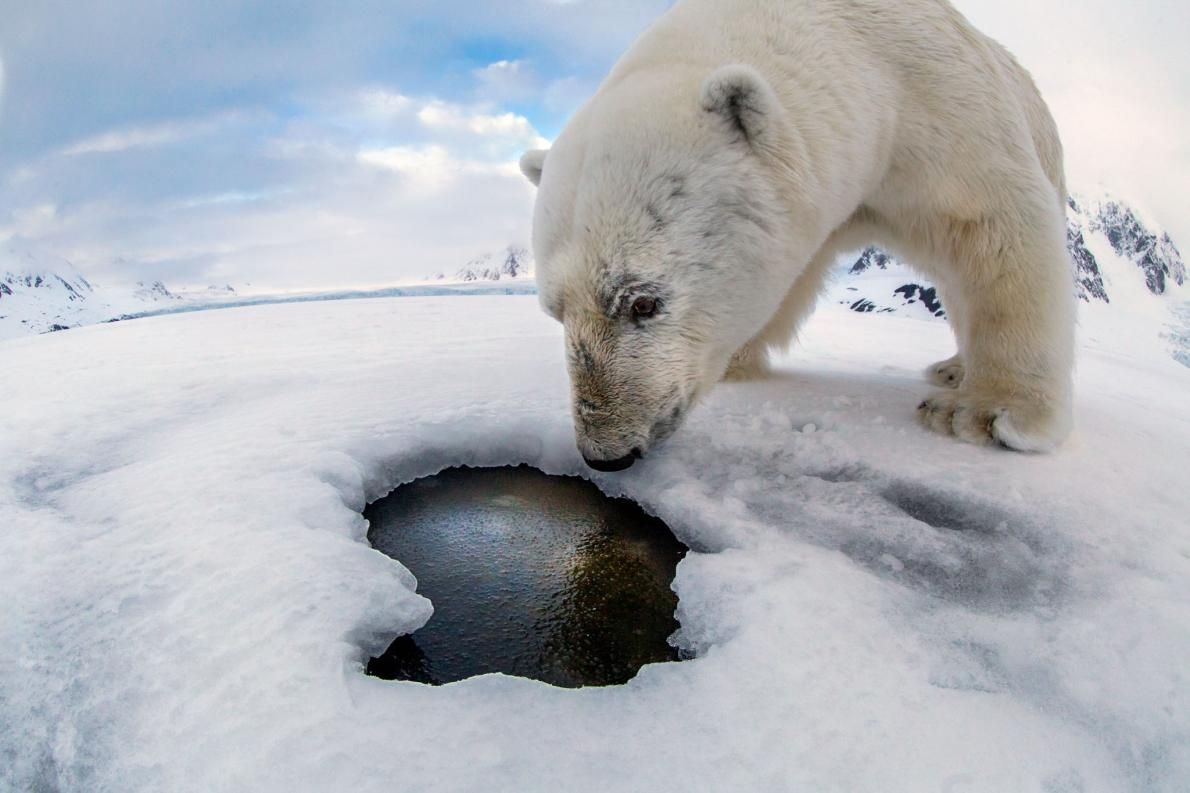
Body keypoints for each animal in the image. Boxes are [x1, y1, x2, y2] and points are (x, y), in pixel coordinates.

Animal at [516, 0, 1075, 469]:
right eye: (554, 310)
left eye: (643, 302)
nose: (607, 453)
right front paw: (738, 359)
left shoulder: (940, 109)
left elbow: (994, 230)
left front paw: (985, 413)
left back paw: (954, 371)